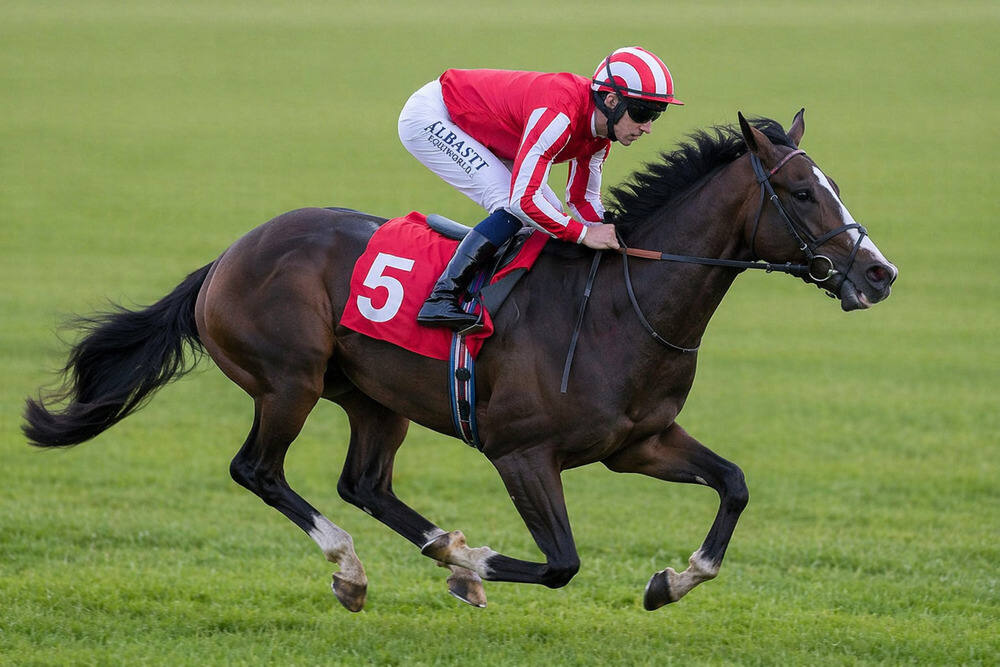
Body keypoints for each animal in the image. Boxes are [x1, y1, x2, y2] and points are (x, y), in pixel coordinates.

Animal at [24, 111, 897, 612]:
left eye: (834, 183)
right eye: (803, 193)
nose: (880, 273)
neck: (620, 305)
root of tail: (227, 257)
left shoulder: (639, 443)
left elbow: (735, 484)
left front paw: (671, 580)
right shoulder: (522, 451)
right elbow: (562, 562)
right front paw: (471, 564)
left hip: (374, 398)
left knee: (364, 483)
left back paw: (426, 547)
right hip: (288, 381)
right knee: (259, 470)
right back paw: (361, 564)